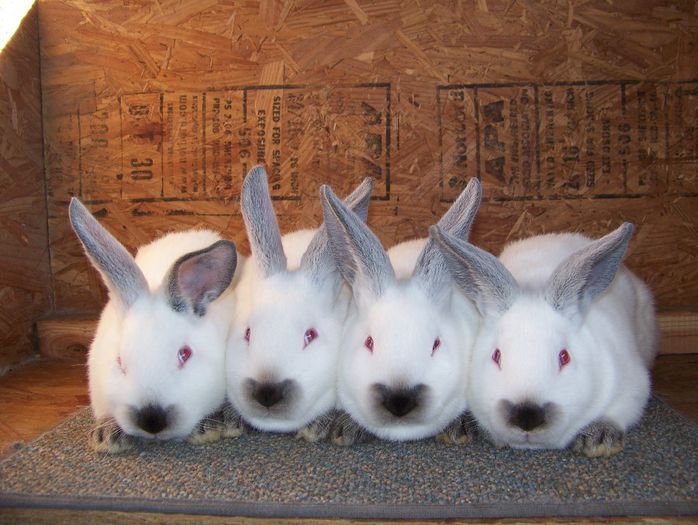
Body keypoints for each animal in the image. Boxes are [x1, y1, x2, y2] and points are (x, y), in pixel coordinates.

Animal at [430, 222, 659, 457]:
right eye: (496, 356)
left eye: (564, 357)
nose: (527, 417)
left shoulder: (633, 386)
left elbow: (618, 411)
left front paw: (600, 441)